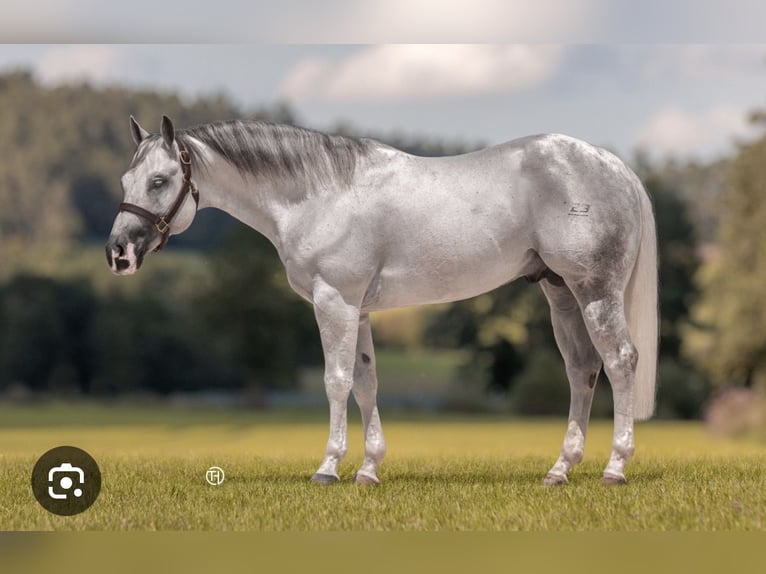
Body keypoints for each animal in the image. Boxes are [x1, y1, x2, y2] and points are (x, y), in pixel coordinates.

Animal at [106, 115, 658, 486]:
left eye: (159, 180)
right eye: (126, 181)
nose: (118, 254)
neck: (320, 194)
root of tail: (612, 165)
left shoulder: (334, 301)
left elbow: (336, 381)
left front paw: (328, 468)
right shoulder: (360, 309)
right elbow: (366, 383)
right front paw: (368, 469)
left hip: (595, 290)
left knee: (620, 361)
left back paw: (615, 468)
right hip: (561, 292)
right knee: (583, 370)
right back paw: (560, 470)